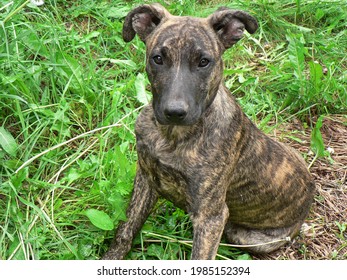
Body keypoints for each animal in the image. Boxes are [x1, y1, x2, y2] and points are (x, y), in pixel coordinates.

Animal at [102, 2, 316, 260]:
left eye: (204, 61)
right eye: (158, 59)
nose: (174, 111)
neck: (172, 136)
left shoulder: (211, 217)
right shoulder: (145, 178)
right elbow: (126, 228)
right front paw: (111, 257)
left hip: (248, 237)